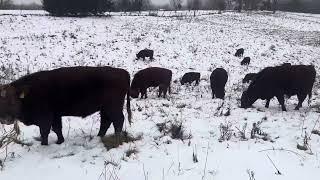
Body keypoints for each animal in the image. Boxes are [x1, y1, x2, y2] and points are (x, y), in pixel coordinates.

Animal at [0, 67, 131, 146]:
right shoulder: (56, 115)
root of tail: (124, 72)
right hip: (105, 109)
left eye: (13, 101)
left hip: (113, 107)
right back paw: (98, 138)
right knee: (106, 122)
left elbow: (45, 132)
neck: (29, 93)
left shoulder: (46, 118)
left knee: (118, 121)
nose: (5, 119)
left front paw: (44, 145)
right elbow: (57, 129)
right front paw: (60, 141)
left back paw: (116, 139)